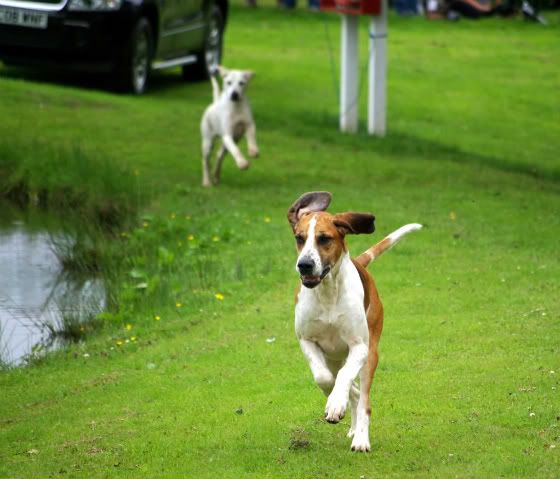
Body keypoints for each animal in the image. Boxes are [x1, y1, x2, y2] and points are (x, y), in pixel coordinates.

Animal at [286, 192, 422, 454]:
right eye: (299, 238)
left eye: (324, 239)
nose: (304, 264)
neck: (327, 292)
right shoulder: (306, 341)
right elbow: (324, 378)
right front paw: (335, 402)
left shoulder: (360, 346)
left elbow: (346, 376)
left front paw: (336, 404)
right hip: (334, 356)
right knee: (350, 387)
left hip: (370, 353)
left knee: (364, 398)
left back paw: (360, 438)